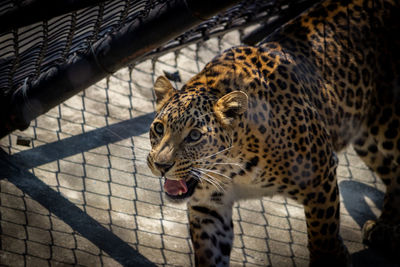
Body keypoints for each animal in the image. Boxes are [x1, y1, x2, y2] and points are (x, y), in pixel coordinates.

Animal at [147, 0, 400, 266]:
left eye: (195, 135)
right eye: (159, 128)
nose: (161, 165)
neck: (233, 168)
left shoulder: (321, 176)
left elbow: (323, 234)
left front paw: (332, 256)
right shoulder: (208, 207)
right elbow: (210, 255)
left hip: (388, 124)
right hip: (365, 136)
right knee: (393, 171)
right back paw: (385, 226)